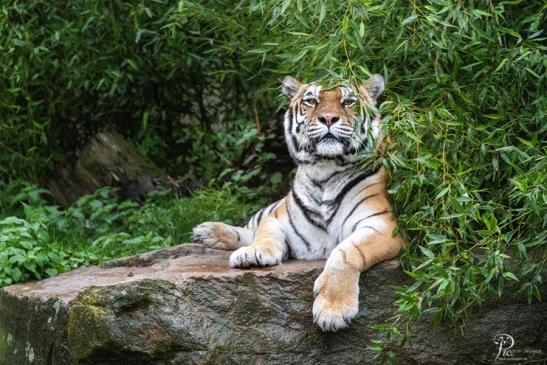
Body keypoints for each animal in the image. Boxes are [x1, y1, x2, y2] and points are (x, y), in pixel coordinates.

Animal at [191, 73, 404, 330]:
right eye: (311, 101)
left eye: (348, 101)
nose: (328, 118)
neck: (325, 169)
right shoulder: (278, 216)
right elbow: (265, 233)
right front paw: (252, 254)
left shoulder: (382, 225)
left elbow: (345, 252)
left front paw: (332, 310)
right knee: (250, 227)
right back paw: (206, 232)